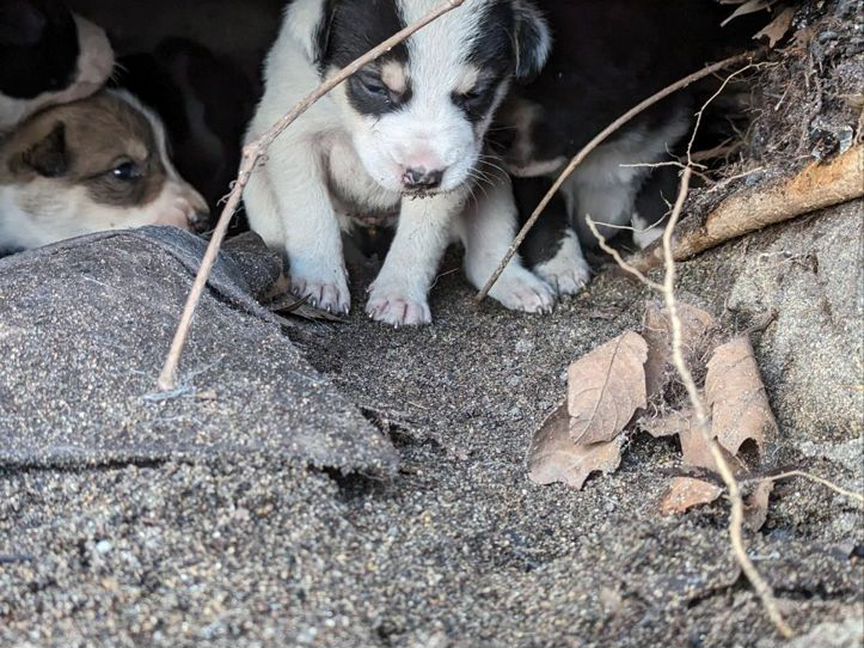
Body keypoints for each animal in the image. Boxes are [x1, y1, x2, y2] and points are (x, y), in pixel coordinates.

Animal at [245, 0, 552, 324]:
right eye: (374, 85)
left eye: (475, 93)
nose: (423, 176)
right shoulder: (292, 136)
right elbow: (310, 212)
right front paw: (320, 279)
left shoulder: (458, 169)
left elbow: (420, 236)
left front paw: (399, 294)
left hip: (493, 180)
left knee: (487, 254)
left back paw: (516, 283)